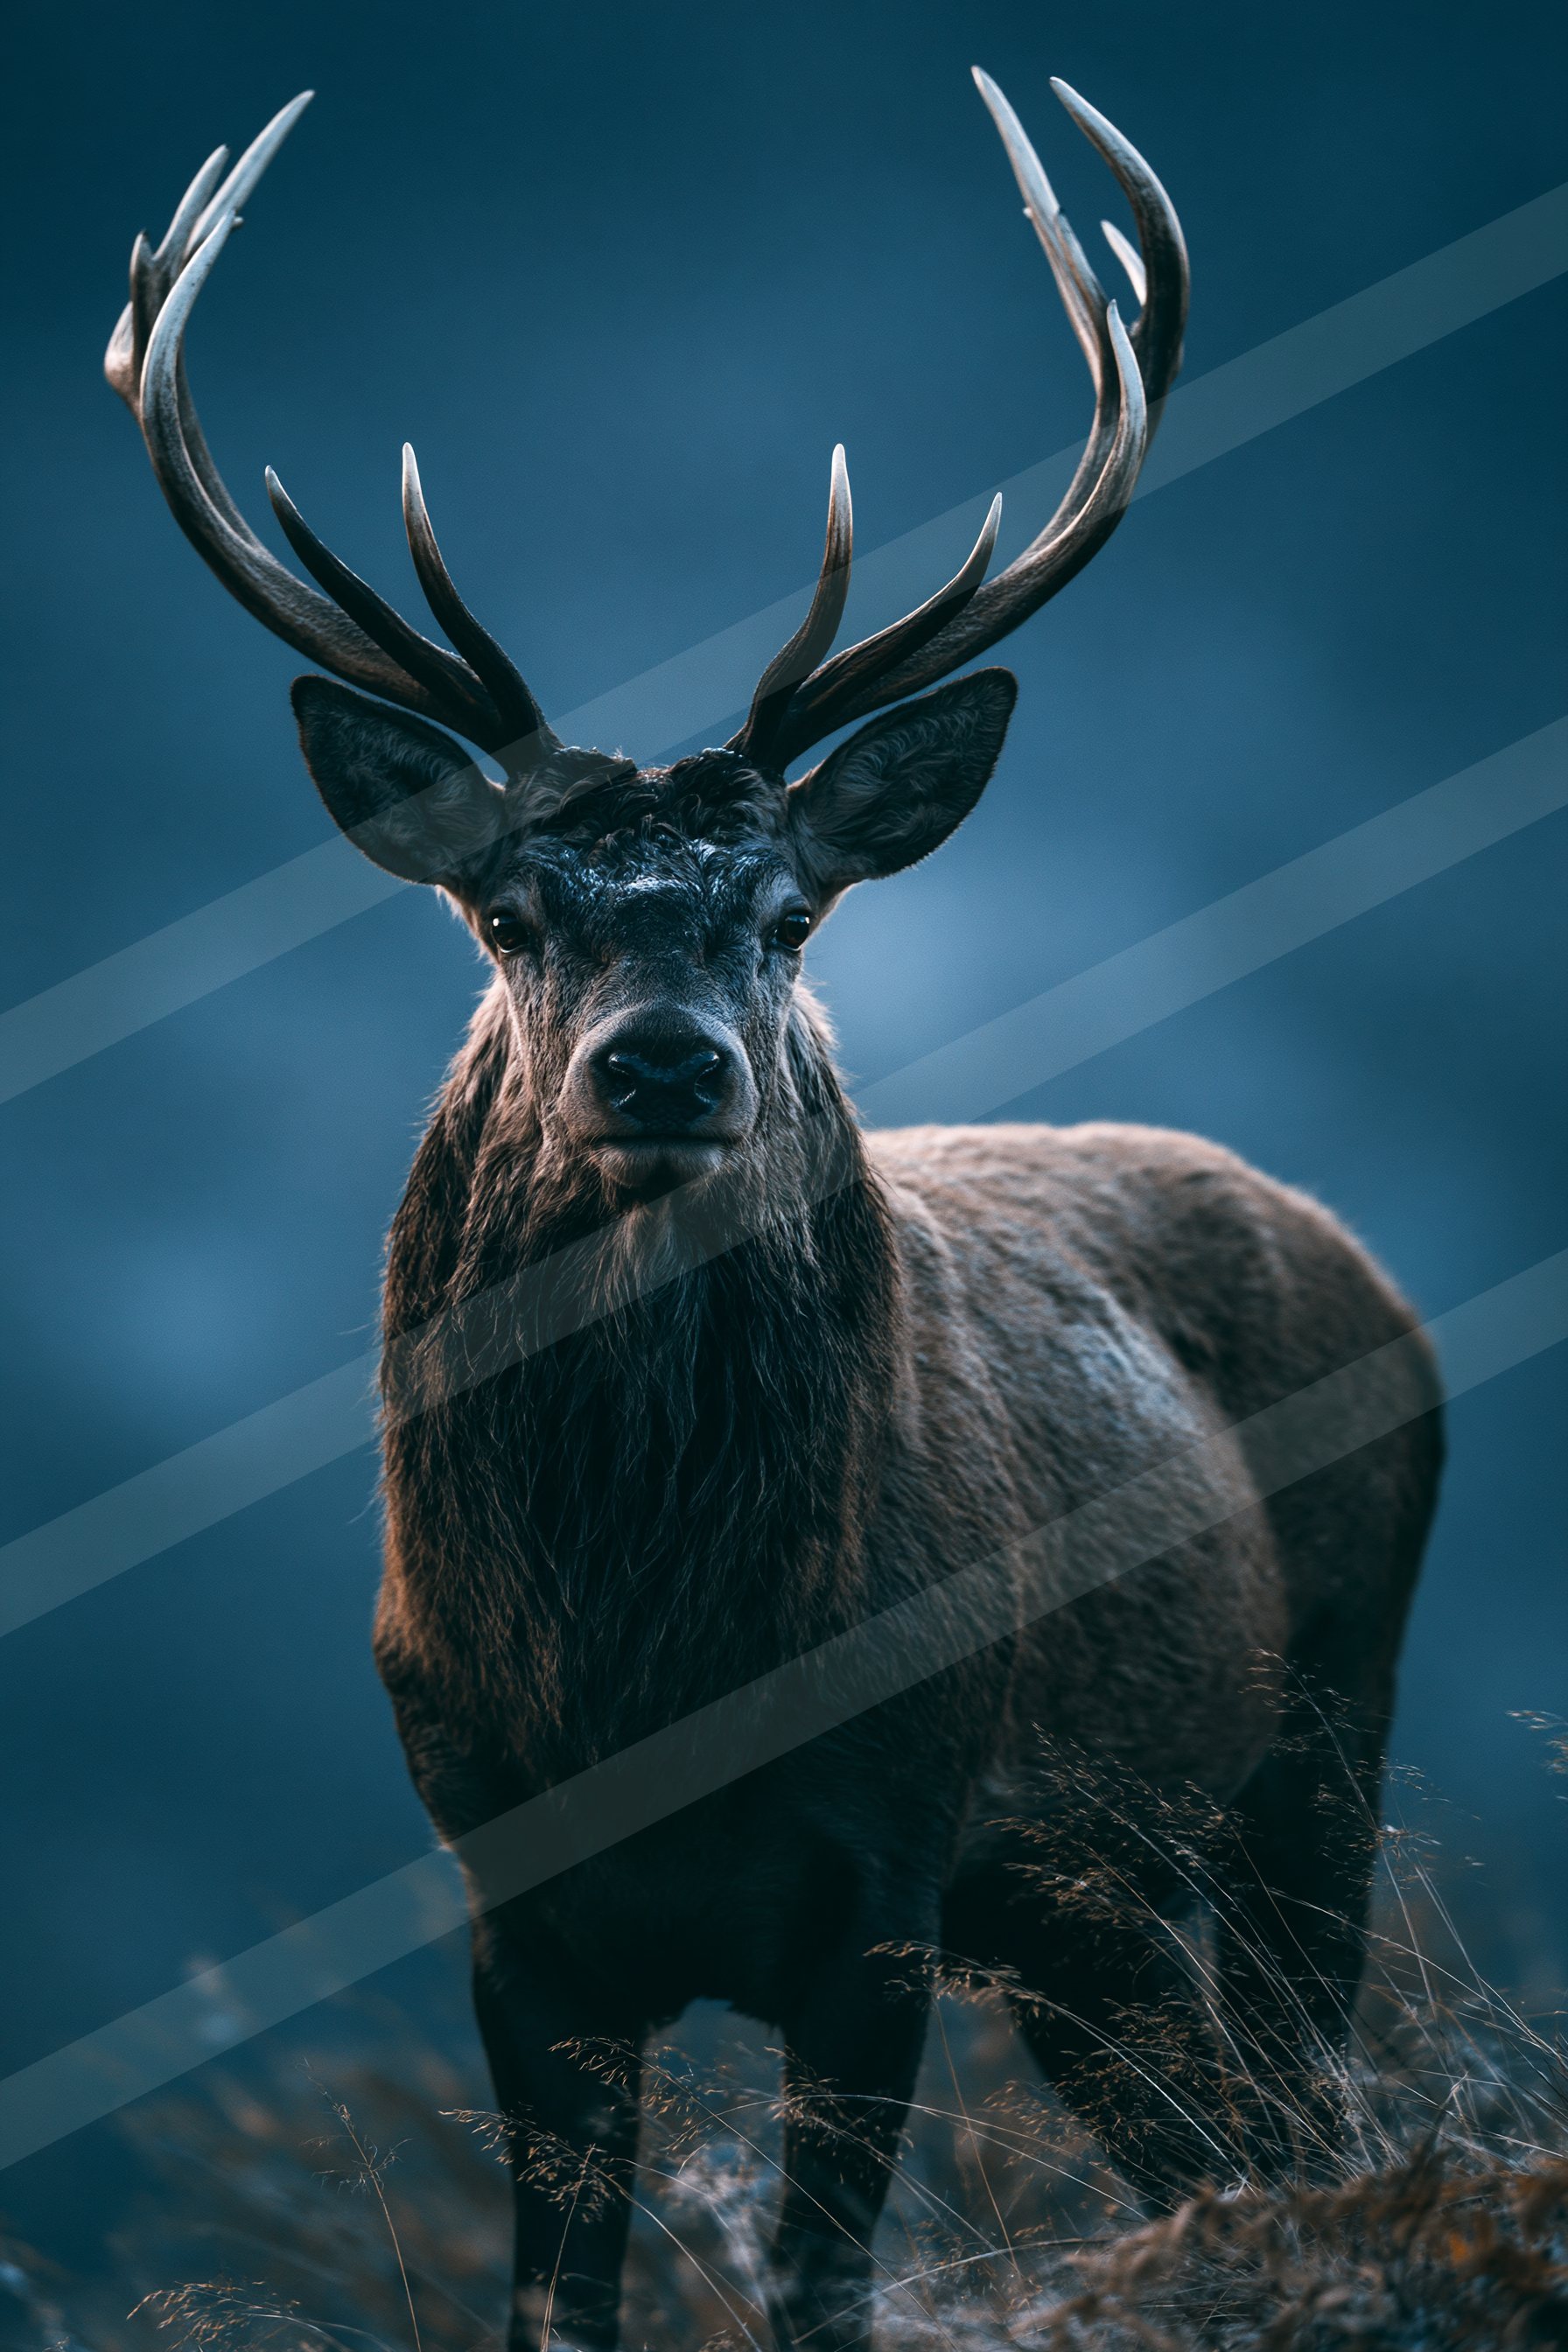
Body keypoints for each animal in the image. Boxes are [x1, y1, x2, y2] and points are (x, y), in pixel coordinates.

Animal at [108, 71, 1442, 2352]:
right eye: (509, 911)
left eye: (793, 912)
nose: (662, 1065)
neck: (660, 1677)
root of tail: (1358, 1258)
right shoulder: (507, 1897)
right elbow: (556, 2306)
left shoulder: (890, 1873)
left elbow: (822, 2290)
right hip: (1089, 1906)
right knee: (1218, 2144)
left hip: (1321, 1730)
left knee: (1315, 2106)